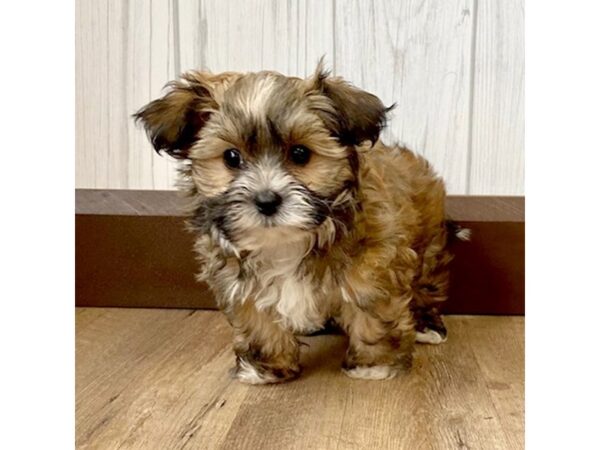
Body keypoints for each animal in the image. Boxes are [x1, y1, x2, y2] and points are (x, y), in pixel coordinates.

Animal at [136, 60, 464, 384]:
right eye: (231, 157)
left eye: (300, 153)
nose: (266, 200)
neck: (286, 242)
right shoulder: (237, 279)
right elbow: (258, 320)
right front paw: (266, 367)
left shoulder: (374, 266)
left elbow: (371, 311)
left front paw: (374, 365)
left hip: (428, 247)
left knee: (426, 284)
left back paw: (426, 325)